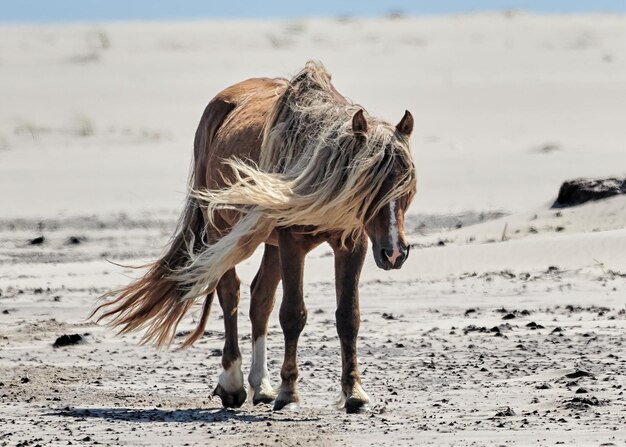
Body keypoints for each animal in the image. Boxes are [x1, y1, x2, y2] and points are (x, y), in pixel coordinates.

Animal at [92, 61, 414, 414]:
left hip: (269, 245)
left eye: (408, 184)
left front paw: (354, 391)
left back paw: (262, 385)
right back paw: (233, 384)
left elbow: (348, 317)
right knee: (230, 294)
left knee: (261, 299)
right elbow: (293, 314)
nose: (394, 253)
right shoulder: (291, 243)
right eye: (371, 185)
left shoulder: (352, 244)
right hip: (222, 232)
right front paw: (289, 391)